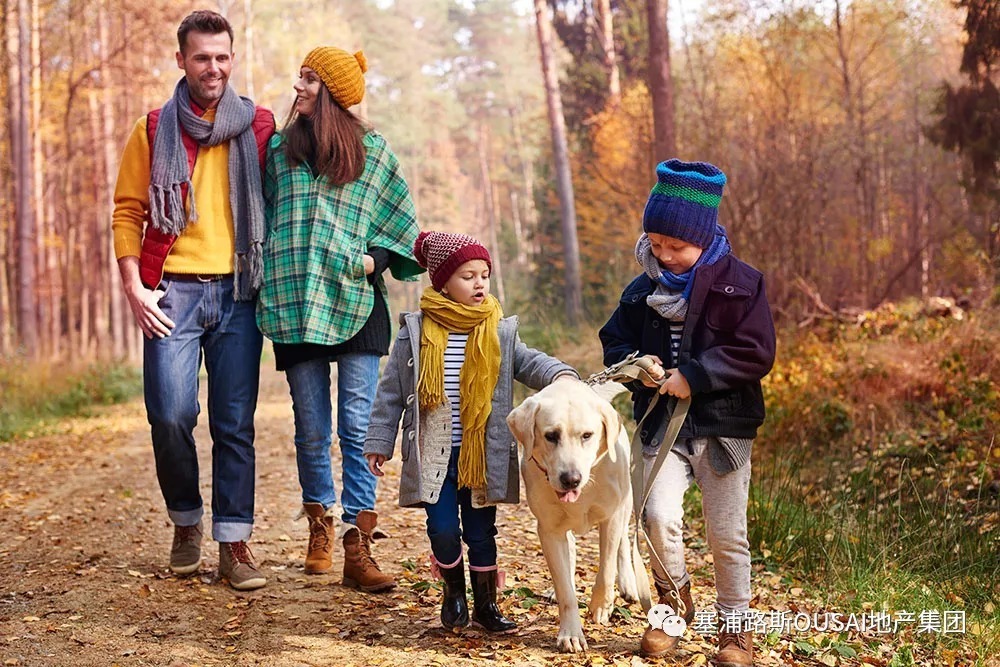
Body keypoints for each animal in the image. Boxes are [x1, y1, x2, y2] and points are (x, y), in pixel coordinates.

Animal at [508, 378, 640, 656]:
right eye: (551, 436)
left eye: (587, 435)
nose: (571, 479)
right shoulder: (549, 530)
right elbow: (566, 589)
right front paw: (570, 633)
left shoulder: (611, 517)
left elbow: (606, 568)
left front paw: (601, 605)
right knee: (569, 552)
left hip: (626, 502)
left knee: (623, 542)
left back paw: (628, 585)